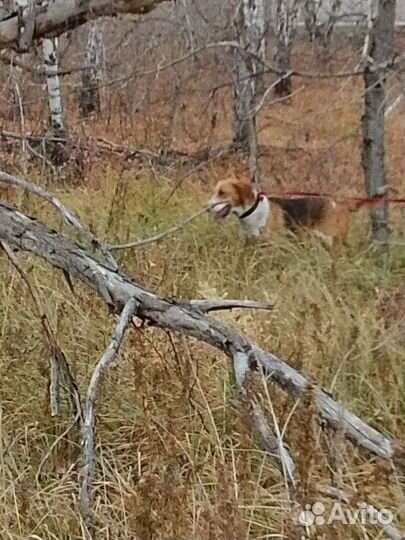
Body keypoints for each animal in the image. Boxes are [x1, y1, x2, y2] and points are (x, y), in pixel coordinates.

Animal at [208, 175, 370, 247]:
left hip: (332, 241)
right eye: (215, 191)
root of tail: (340, 204)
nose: (208, 206)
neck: (252, 212)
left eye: (222, 193)